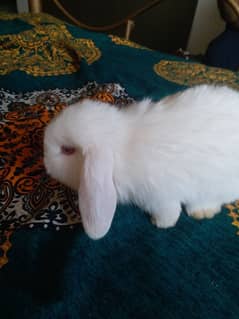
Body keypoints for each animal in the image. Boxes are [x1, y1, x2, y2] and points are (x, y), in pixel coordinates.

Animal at [43, 85, 239, 240]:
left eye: (67, 150)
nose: (45, 163)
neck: (120, 144)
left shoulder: (160, 196)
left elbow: (169, 212)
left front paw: (159, 223)